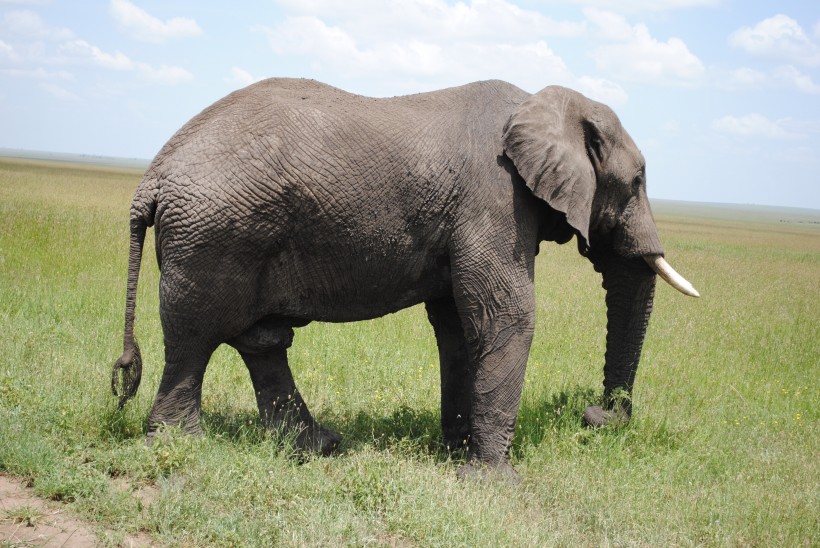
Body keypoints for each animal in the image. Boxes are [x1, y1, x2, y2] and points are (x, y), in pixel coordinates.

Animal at [109, 79, 700, 478]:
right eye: (638, 180)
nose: (594, 415)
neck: (541, 102)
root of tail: (152, 177)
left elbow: (460, 327)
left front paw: (457, 454)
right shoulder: (495, 199)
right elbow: (506, 317)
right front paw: (491, 482)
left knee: (261, 340)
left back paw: (316, 447)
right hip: (213, 236)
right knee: (195, 337)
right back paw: (180, 447)